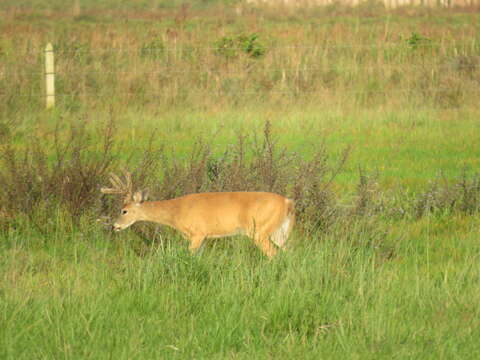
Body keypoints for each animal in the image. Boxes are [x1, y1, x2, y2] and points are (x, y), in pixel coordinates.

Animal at [101, 171, 294, 258]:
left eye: (124, 210)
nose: (114, 226)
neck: (176, 212)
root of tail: (288, 202)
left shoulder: (197, 233)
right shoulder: (204, 237)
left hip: (259, 231)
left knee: (273, 255)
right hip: (279, 232)